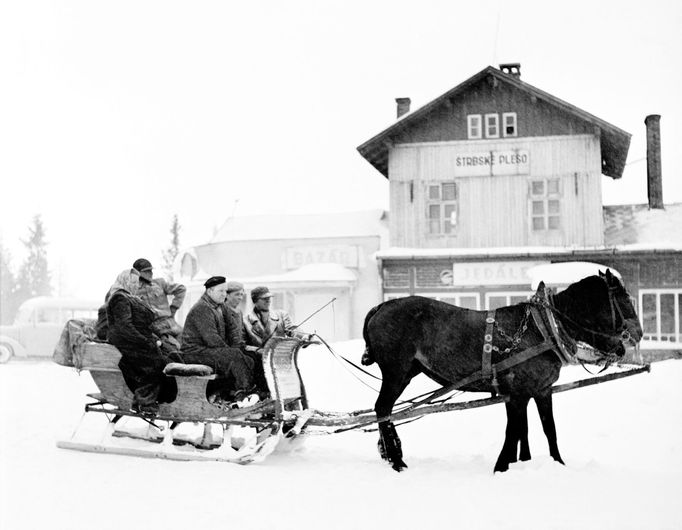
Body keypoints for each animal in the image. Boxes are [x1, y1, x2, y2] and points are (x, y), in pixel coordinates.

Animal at [364, 270, 640, 472]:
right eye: (625, 300)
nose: (637, 335)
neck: (542, 329)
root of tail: (380, 307)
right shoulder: (517, 393)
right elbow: (514, 430)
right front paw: (502, 466)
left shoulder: (539, 391)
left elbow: (545, 429)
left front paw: (554, 463)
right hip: (396, 372)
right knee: (383, 409)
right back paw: (396, 460)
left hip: (406, 373)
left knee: (385, 411)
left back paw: (391, 454)